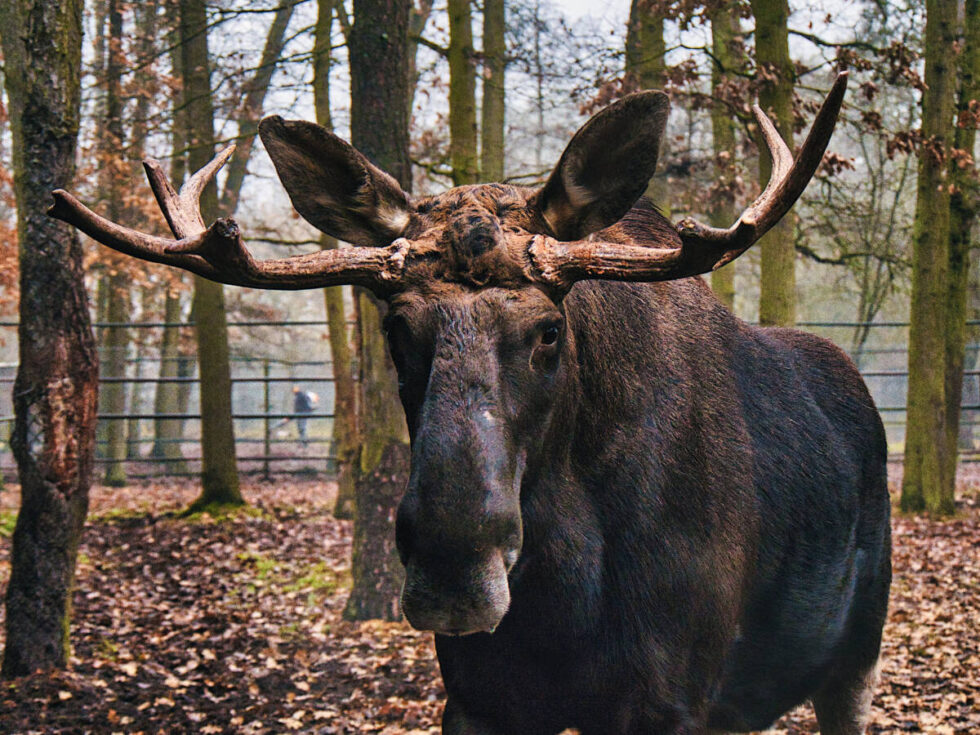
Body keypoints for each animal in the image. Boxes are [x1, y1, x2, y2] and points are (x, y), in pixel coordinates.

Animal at [49, 70, 888, 735]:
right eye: (395, 325)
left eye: (550, 329)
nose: (453, 567)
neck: (563, 593)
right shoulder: (480, 698)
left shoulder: (670, 698)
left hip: (857, 655)